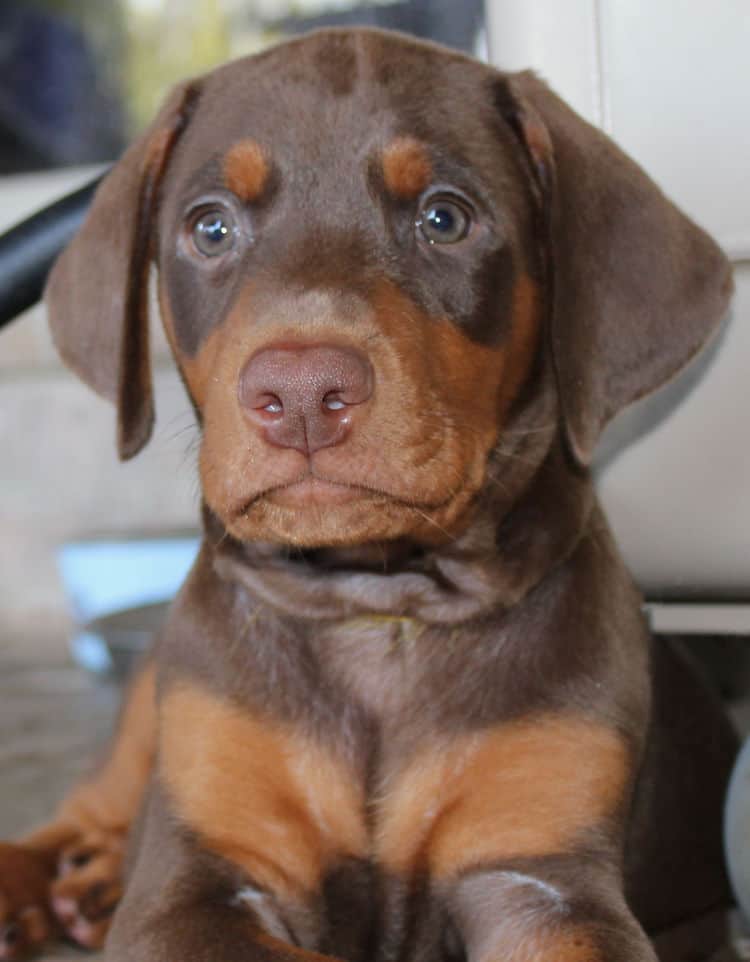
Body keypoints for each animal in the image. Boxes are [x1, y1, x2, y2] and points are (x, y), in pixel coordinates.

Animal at [0, 26, 740, 960]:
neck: (378, 609)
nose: (301, 394)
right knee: (84, 811)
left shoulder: (540, 875)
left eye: (445, 218)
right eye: (211, 227)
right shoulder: (192, 882)